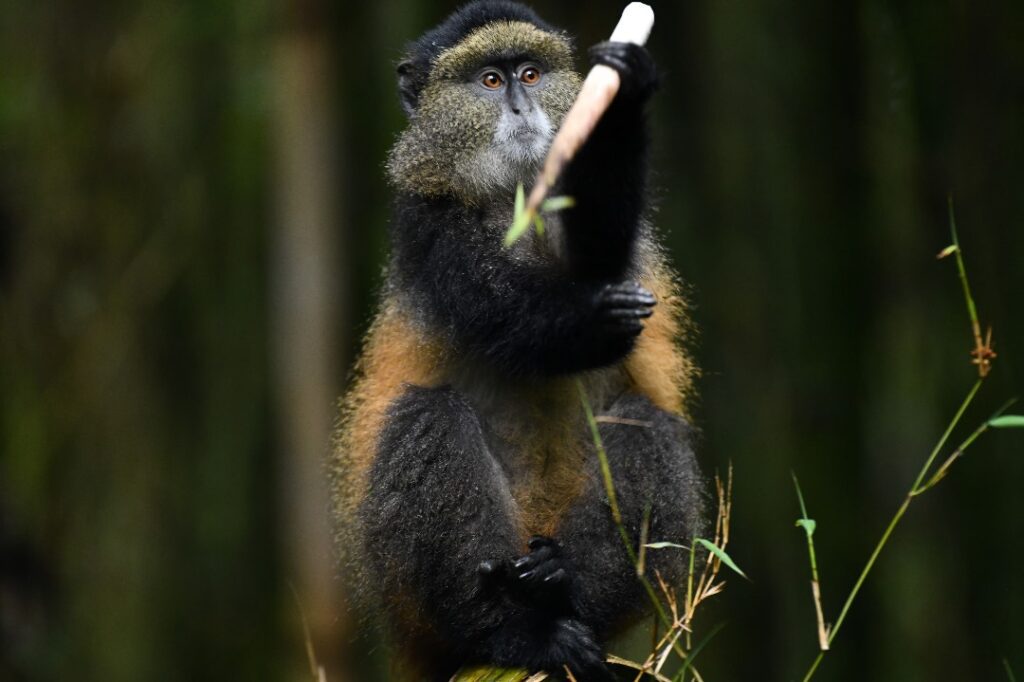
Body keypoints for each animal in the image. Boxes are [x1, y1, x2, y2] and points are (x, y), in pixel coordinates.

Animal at [332, 2, 705, 680]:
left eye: (530, 74)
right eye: (488, 81)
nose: (520, 106)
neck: (511, 194)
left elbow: (602, 257)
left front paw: (623, 92)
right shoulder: (426, 225)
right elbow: (517, 326)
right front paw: (600, 318)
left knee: (645, 424)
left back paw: (560, 584)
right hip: (414, 598)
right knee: (429, 416)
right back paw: (517, 634)